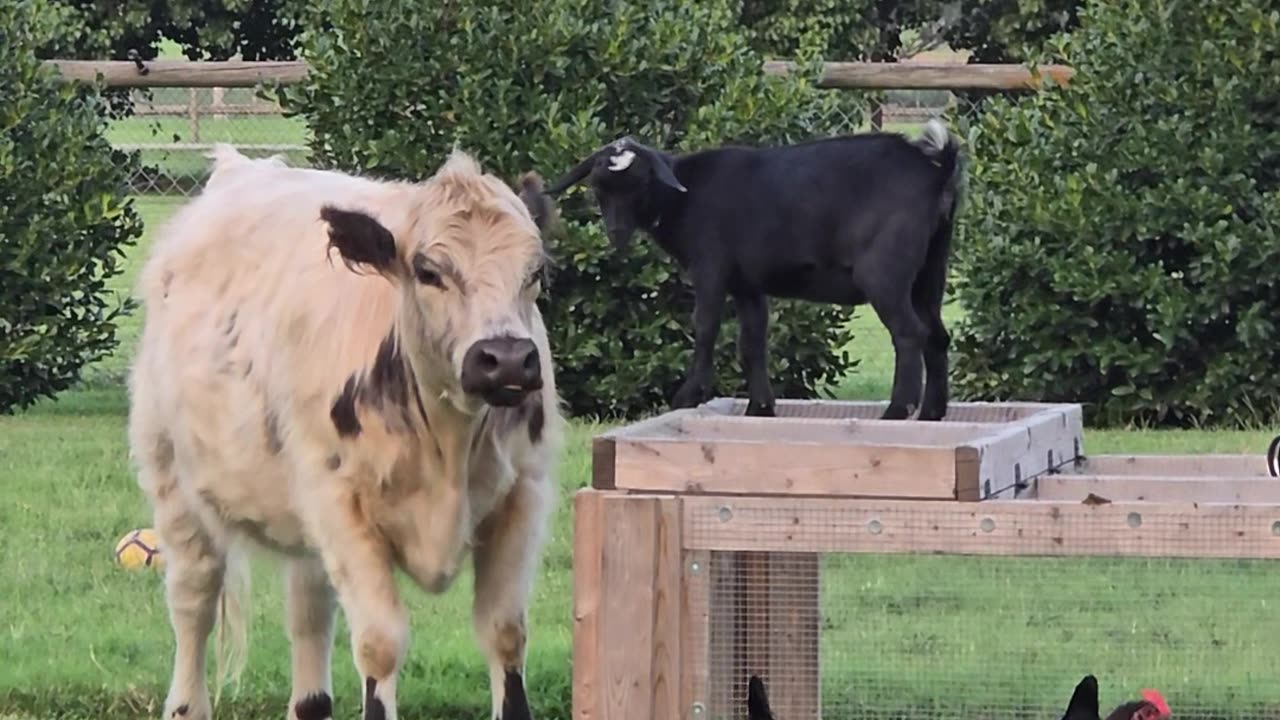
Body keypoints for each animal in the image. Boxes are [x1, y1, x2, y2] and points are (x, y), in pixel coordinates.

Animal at [127, 146, 563, 717]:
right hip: (174, 484)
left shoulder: (523, 496)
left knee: (308, 614)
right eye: (428, 271)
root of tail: (242, 167)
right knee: (192, 602)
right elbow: (381, 644)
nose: (506, 359)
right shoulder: (342, 506)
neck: (448, 440)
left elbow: (505, 633)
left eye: (536, 271)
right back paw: (187, 699)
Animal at [547, 120, 962, 417]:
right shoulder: (747, 283)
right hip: (930, 270)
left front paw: (688, 396)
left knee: (909, 333)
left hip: (885, 270)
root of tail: (935, 173)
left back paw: (896, 411)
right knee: (937, 336)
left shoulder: (710, 268)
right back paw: (931, 414)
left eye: (640, 182)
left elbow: (705, 327)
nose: (616, 233)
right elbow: (752, 342)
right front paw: (759, 407)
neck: (684, 197)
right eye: (599, 187)